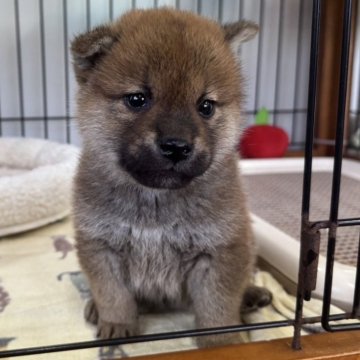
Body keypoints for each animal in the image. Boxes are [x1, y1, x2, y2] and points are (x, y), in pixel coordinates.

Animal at [71, 7, 272, 346]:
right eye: (137, 99)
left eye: (205, 106)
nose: (176, 146)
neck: (156, 204)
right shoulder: (101, 246)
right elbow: (113, 295)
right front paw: (116, 324)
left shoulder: (220, 251)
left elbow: (218, 307)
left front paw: (220, 343)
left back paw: (252, 296)